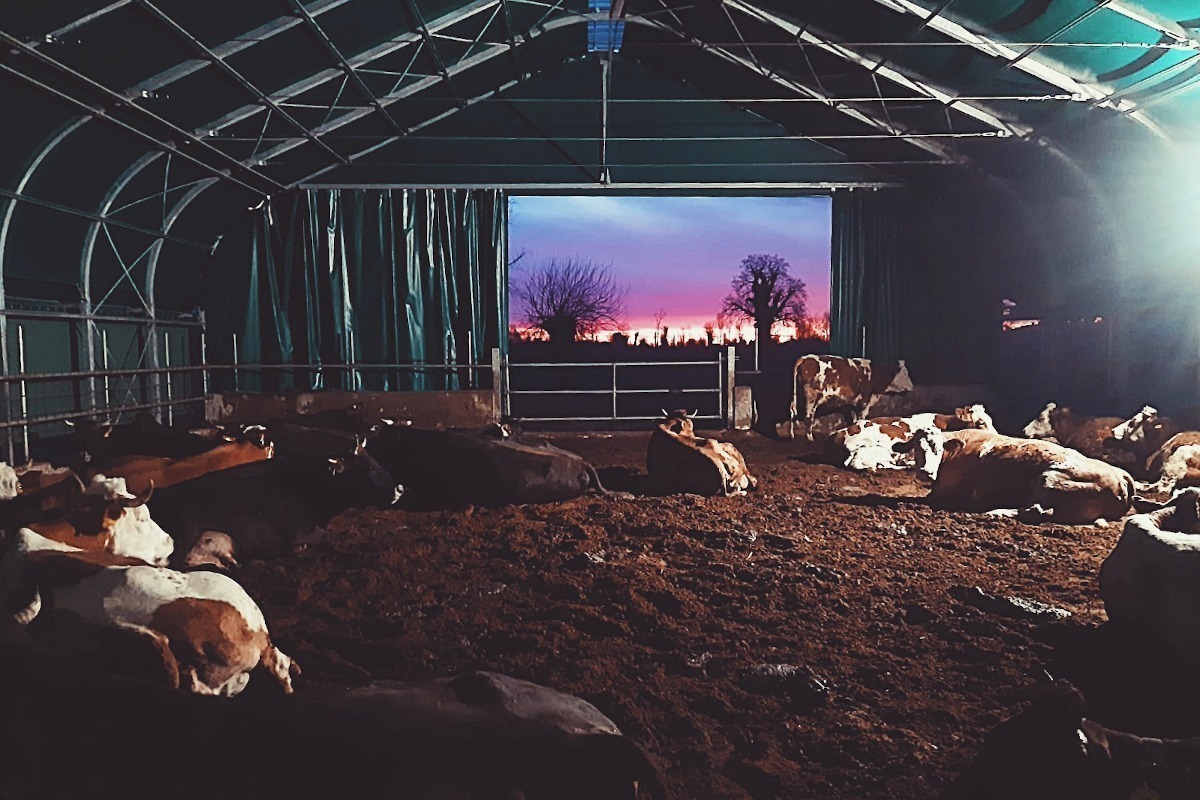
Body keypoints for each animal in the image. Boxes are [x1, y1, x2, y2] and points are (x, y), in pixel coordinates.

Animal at [926, 431, 1132, 525]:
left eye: (935, 447)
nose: (925, 471)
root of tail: (1119, 475)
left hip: (1050, 479)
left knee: (1035, 511)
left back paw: (997, 512)